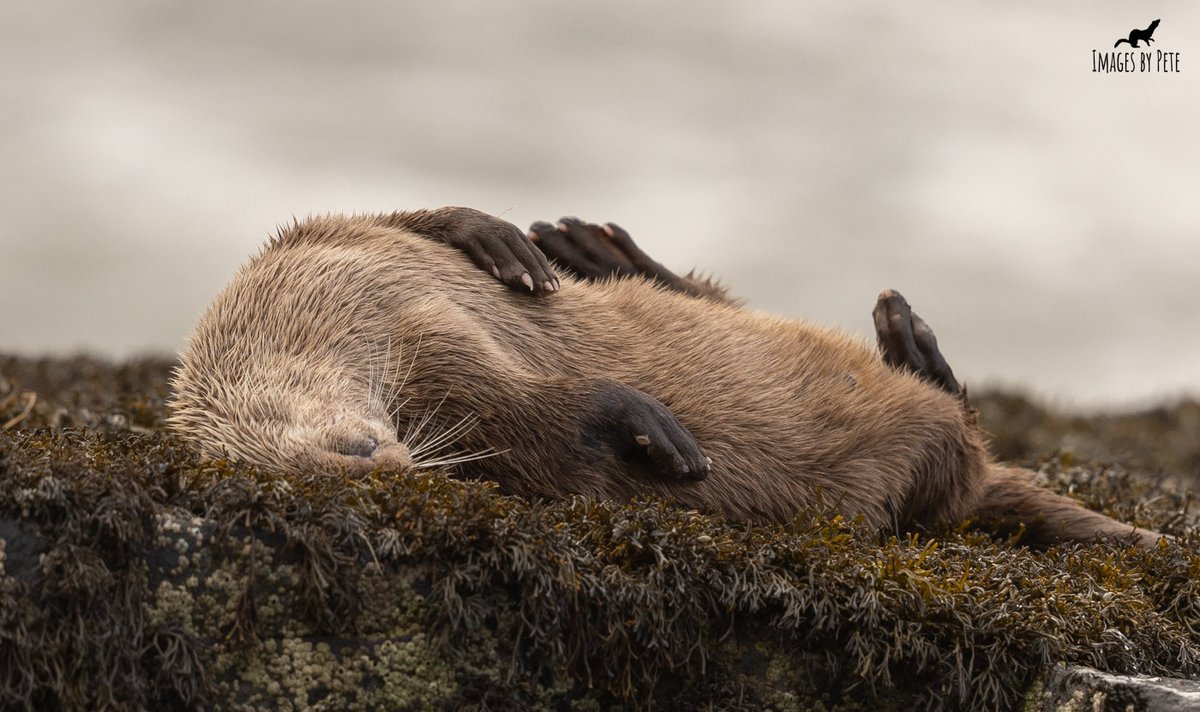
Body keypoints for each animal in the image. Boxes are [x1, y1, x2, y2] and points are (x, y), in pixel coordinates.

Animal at [169, 207, 1161, 547]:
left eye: (353, 449)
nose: (393, 464)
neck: (320, 308)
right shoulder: (439, 369)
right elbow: (532, 421)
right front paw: (644, 429)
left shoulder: (331, 253)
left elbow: (405, 216)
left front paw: (495, 239)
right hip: (914, 467)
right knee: (947, 460)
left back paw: (590, 248)